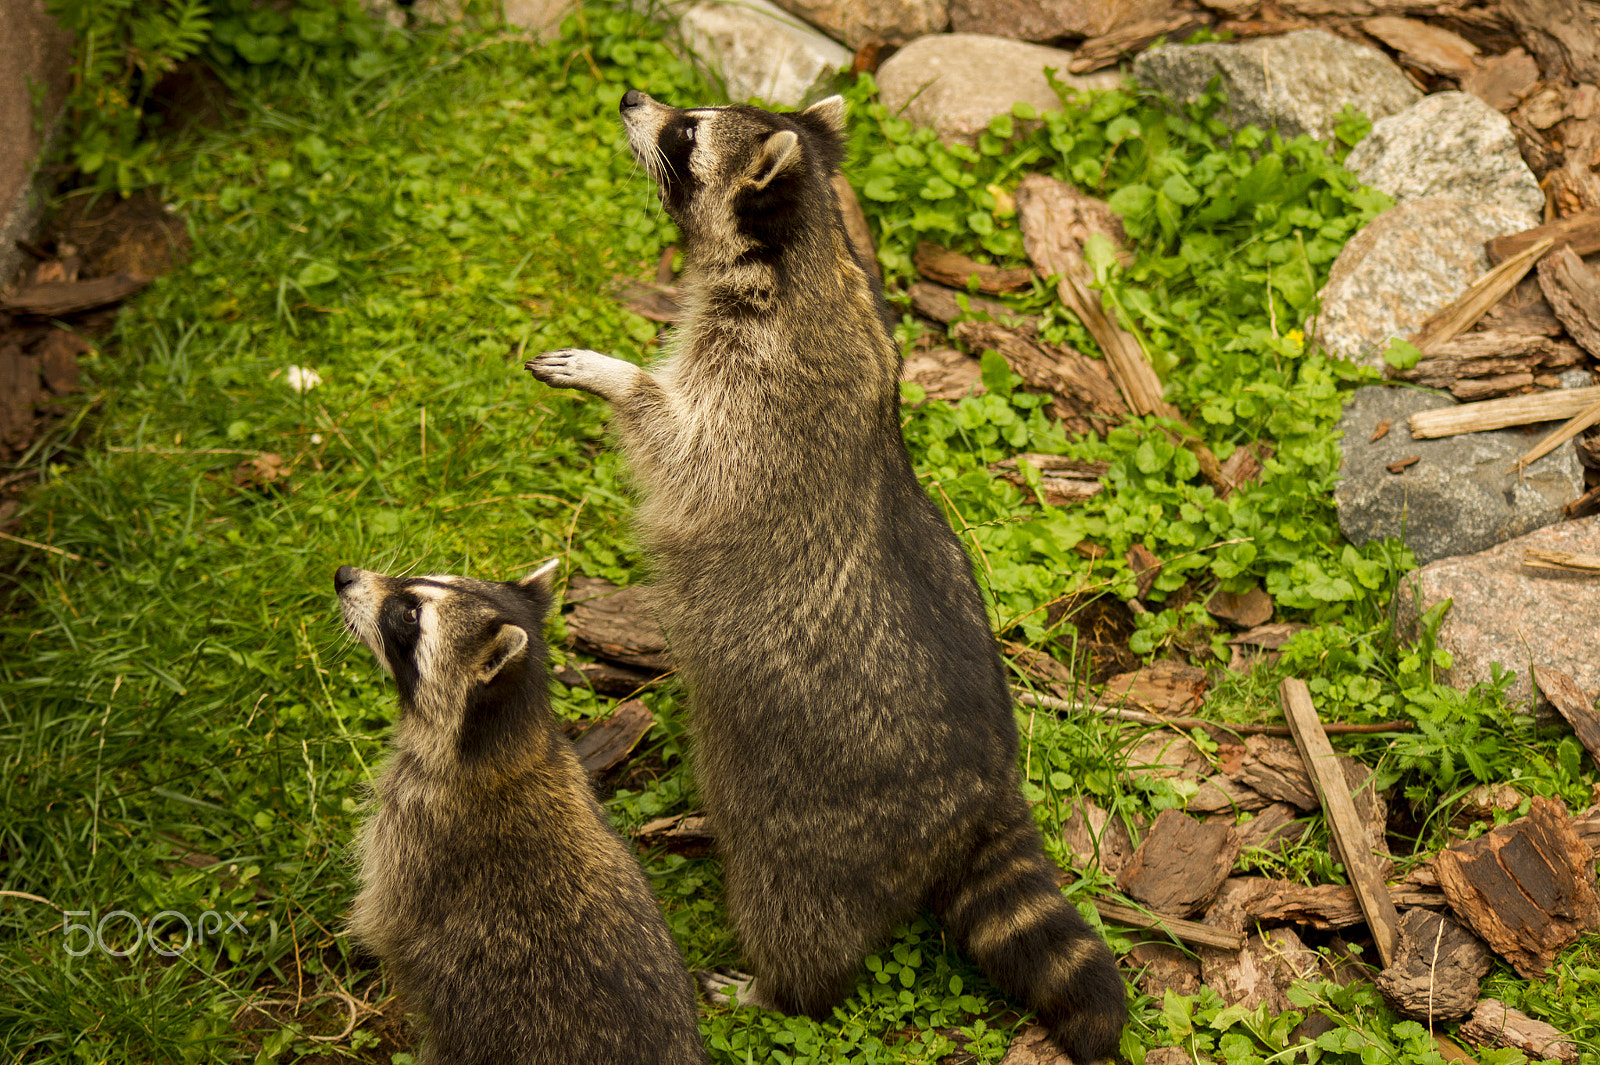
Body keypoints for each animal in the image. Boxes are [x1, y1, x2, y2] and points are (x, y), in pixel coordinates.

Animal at [336, 556, 707, 1061]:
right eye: (419, 580)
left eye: (411, 614)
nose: (343, 575)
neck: (505, 741)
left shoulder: (412, 832)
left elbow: (382, 921)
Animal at [524, 91, 1126, 1061]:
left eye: (685, 133)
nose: (630, 100)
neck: (807, 252)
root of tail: (984, 791)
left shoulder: (761, 402)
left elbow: (680, 449)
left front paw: (617, 376)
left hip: (818, 820)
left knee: (798, 910)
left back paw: (782, 988)